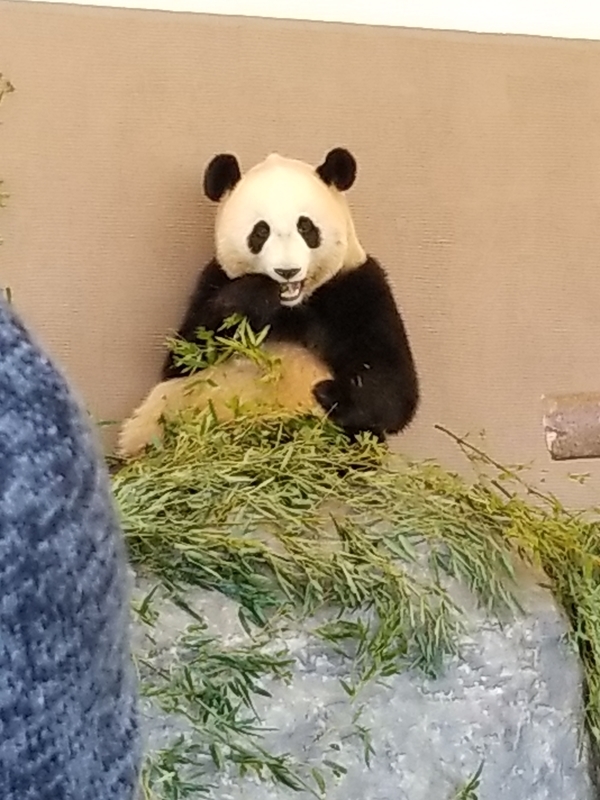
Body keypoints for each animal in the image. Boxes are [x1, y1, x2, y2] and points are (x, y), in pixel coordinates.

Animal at [117, 147, 419, 458]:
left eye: (306, 227)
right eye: (261, 232)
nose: (287, 271)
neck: (293, 306)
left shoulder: (357, 288)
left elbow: (392, 389)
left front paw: (329, 392)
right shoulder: (211, 282)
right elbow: (184, 358)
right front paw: (256, 294)